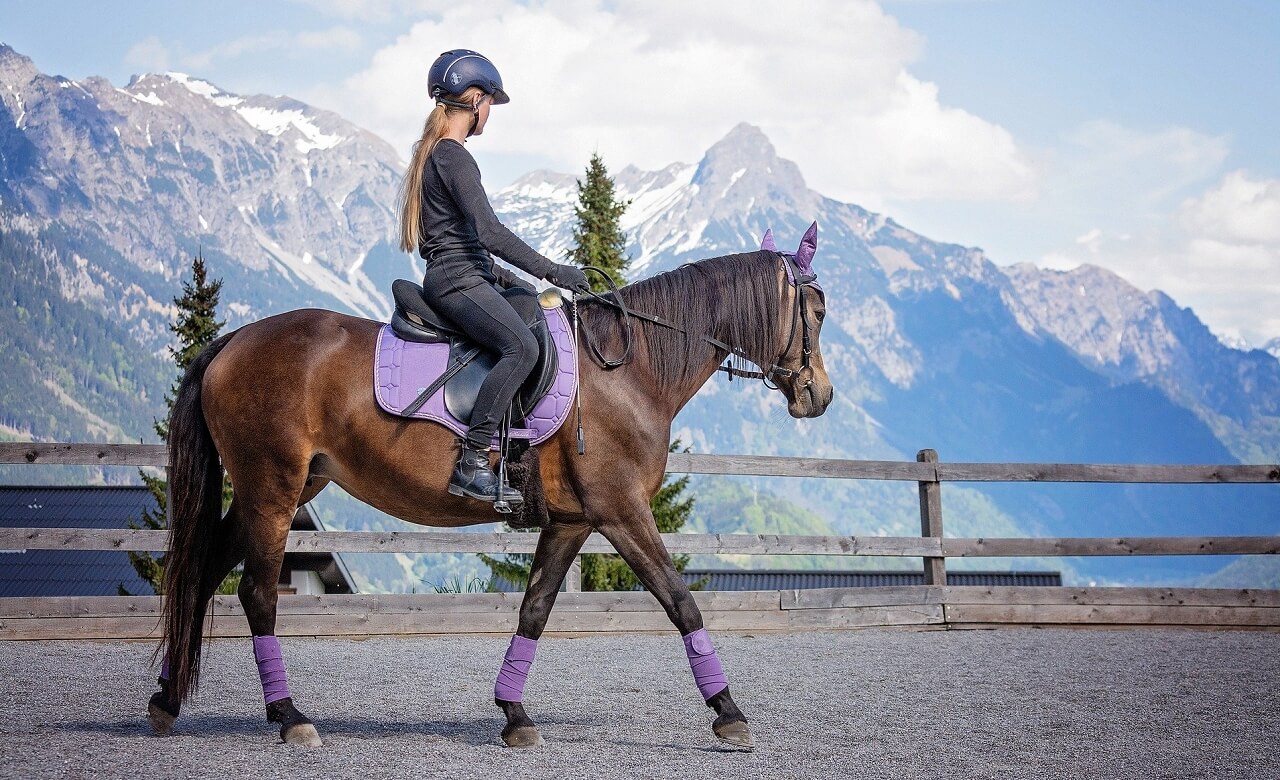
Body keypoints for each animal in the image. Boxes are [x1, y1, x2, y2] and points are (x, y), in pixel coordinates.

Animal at [149, 226, 834, 750]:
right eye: (818, 311)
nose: (819, 396)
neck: (628, 370)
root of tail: (234, 341)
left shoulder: (572, 521)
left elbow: (535, 609)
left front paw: (514, 715)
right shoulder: (622, 512)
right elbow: (680, 600)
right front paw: (729, 712)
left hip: (278, 489)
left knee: (202, 573)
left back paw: (167, 700)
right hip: (273, 487)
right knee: (257, 593)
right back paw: (289, 718)